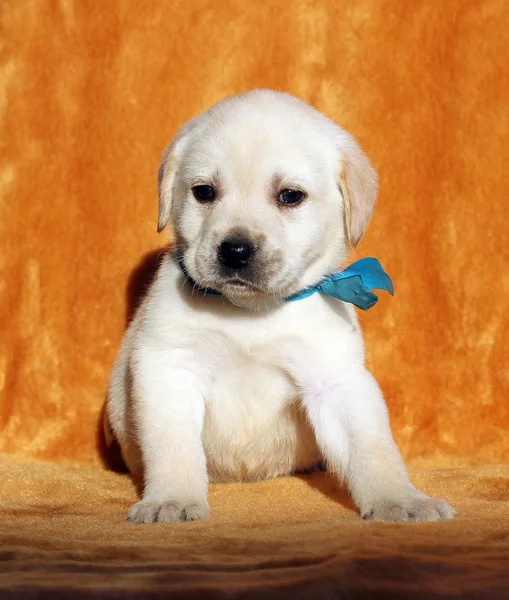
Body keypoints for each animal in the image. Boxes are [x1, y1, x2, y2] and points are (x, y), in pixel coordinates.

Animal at [105, 90, 454, 524]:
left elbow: (374, 449)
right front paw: (171, 500)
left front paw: (401, 500)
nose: (235, 251)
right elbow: (173, 448)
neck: (251, 313)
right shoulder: (169, 368)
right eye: (204, 192)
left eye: (290, 196)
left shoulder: (336, 380)